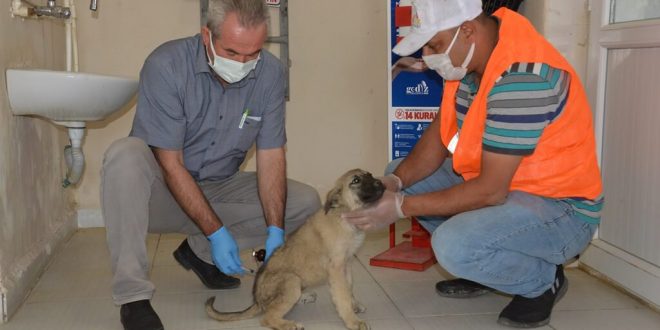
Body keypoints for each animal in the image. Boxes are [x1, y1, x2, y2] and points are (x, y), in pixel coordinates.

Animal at [204, 170, 384, 330]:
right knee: (267, 317)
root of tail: (257, 301)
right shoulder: (336, 269)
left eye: (369, 175)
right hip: (291, 281)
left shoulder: (346, 265)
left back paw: (304, 297)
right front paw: (353, 322)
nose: (380, 183)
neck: (343, 215)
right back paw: (289, 325)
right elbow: (343, 296)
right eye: (355, 181)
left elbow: (349, 288)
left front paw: (355, 306)